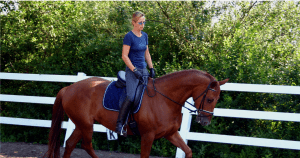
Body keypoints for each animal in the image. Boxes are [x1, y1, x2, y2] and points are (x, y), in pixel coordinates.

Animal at [44, 69, 227, 157]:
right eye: (210, 99)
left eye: (217, 99)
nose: (205, 121)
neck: (164, 99)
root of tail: (69, 88)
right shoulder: (147, 136)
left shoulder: (171, 133)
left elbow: (187, 151)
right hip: (86, 125)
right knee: (86, 145)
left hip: (81, 124)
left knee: (70, 144)